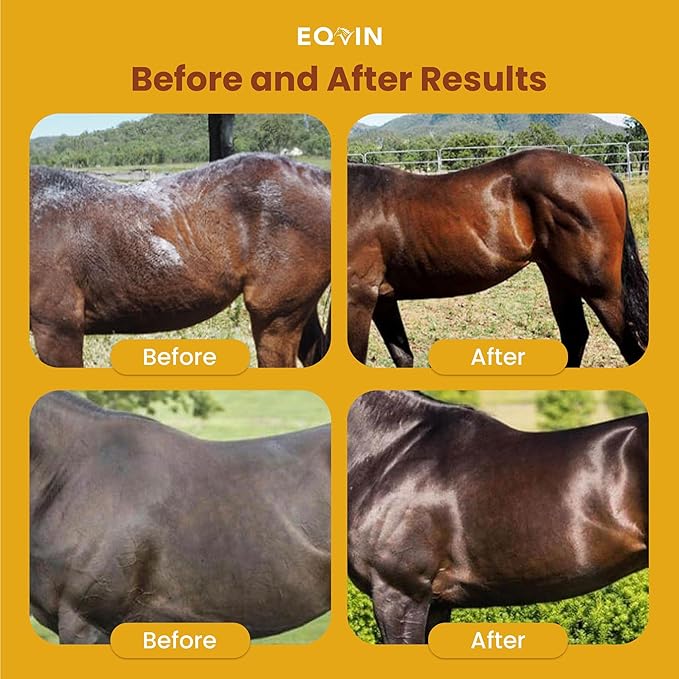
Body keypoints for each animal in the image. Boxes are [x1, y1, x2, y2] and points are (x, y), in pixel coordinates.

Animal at [347, 150, 648, 367]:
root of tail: (604, 172)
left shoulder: (360, 297)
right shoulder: (383, 299)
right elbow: (403, 356)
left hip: (600, 290)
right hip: (559, 278)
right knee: (575, 335)